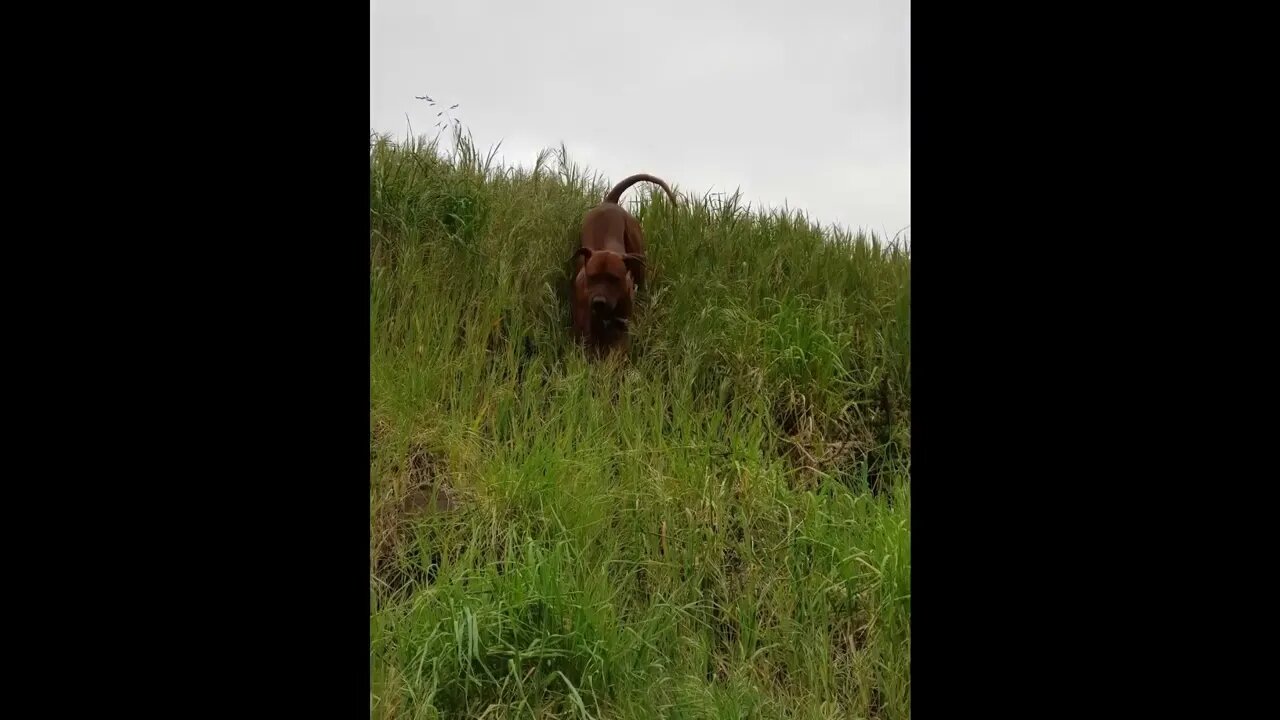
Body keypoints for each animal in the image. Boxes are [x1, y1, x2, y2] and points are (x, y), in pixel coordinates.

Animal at [573, 174, 680, 353]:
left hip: (638, 257)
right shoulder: (586, 329)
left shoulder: (622, 329)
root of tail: (610, 201)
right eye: (592, 277)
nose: (599, 302)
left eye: (614, 279)